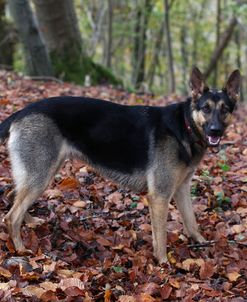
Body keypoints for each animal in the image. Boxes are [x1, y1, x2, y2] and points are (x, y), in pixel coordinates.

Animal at [0, 67, 239, 264]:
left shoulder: (181, 189)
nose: (215, 130)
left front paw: (201, 242)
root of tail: (20, 112)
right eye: (206, 108)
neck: (185, 126)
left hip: (41, 173)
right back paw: (21, 250)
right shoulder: (159, 196)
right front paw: (163, 263)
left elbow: (191, 221)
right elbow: (160, 236)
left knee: (13, 196)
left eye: (225, 109)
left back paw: (30, 224)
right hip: (41, 175)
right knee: (11, 216)